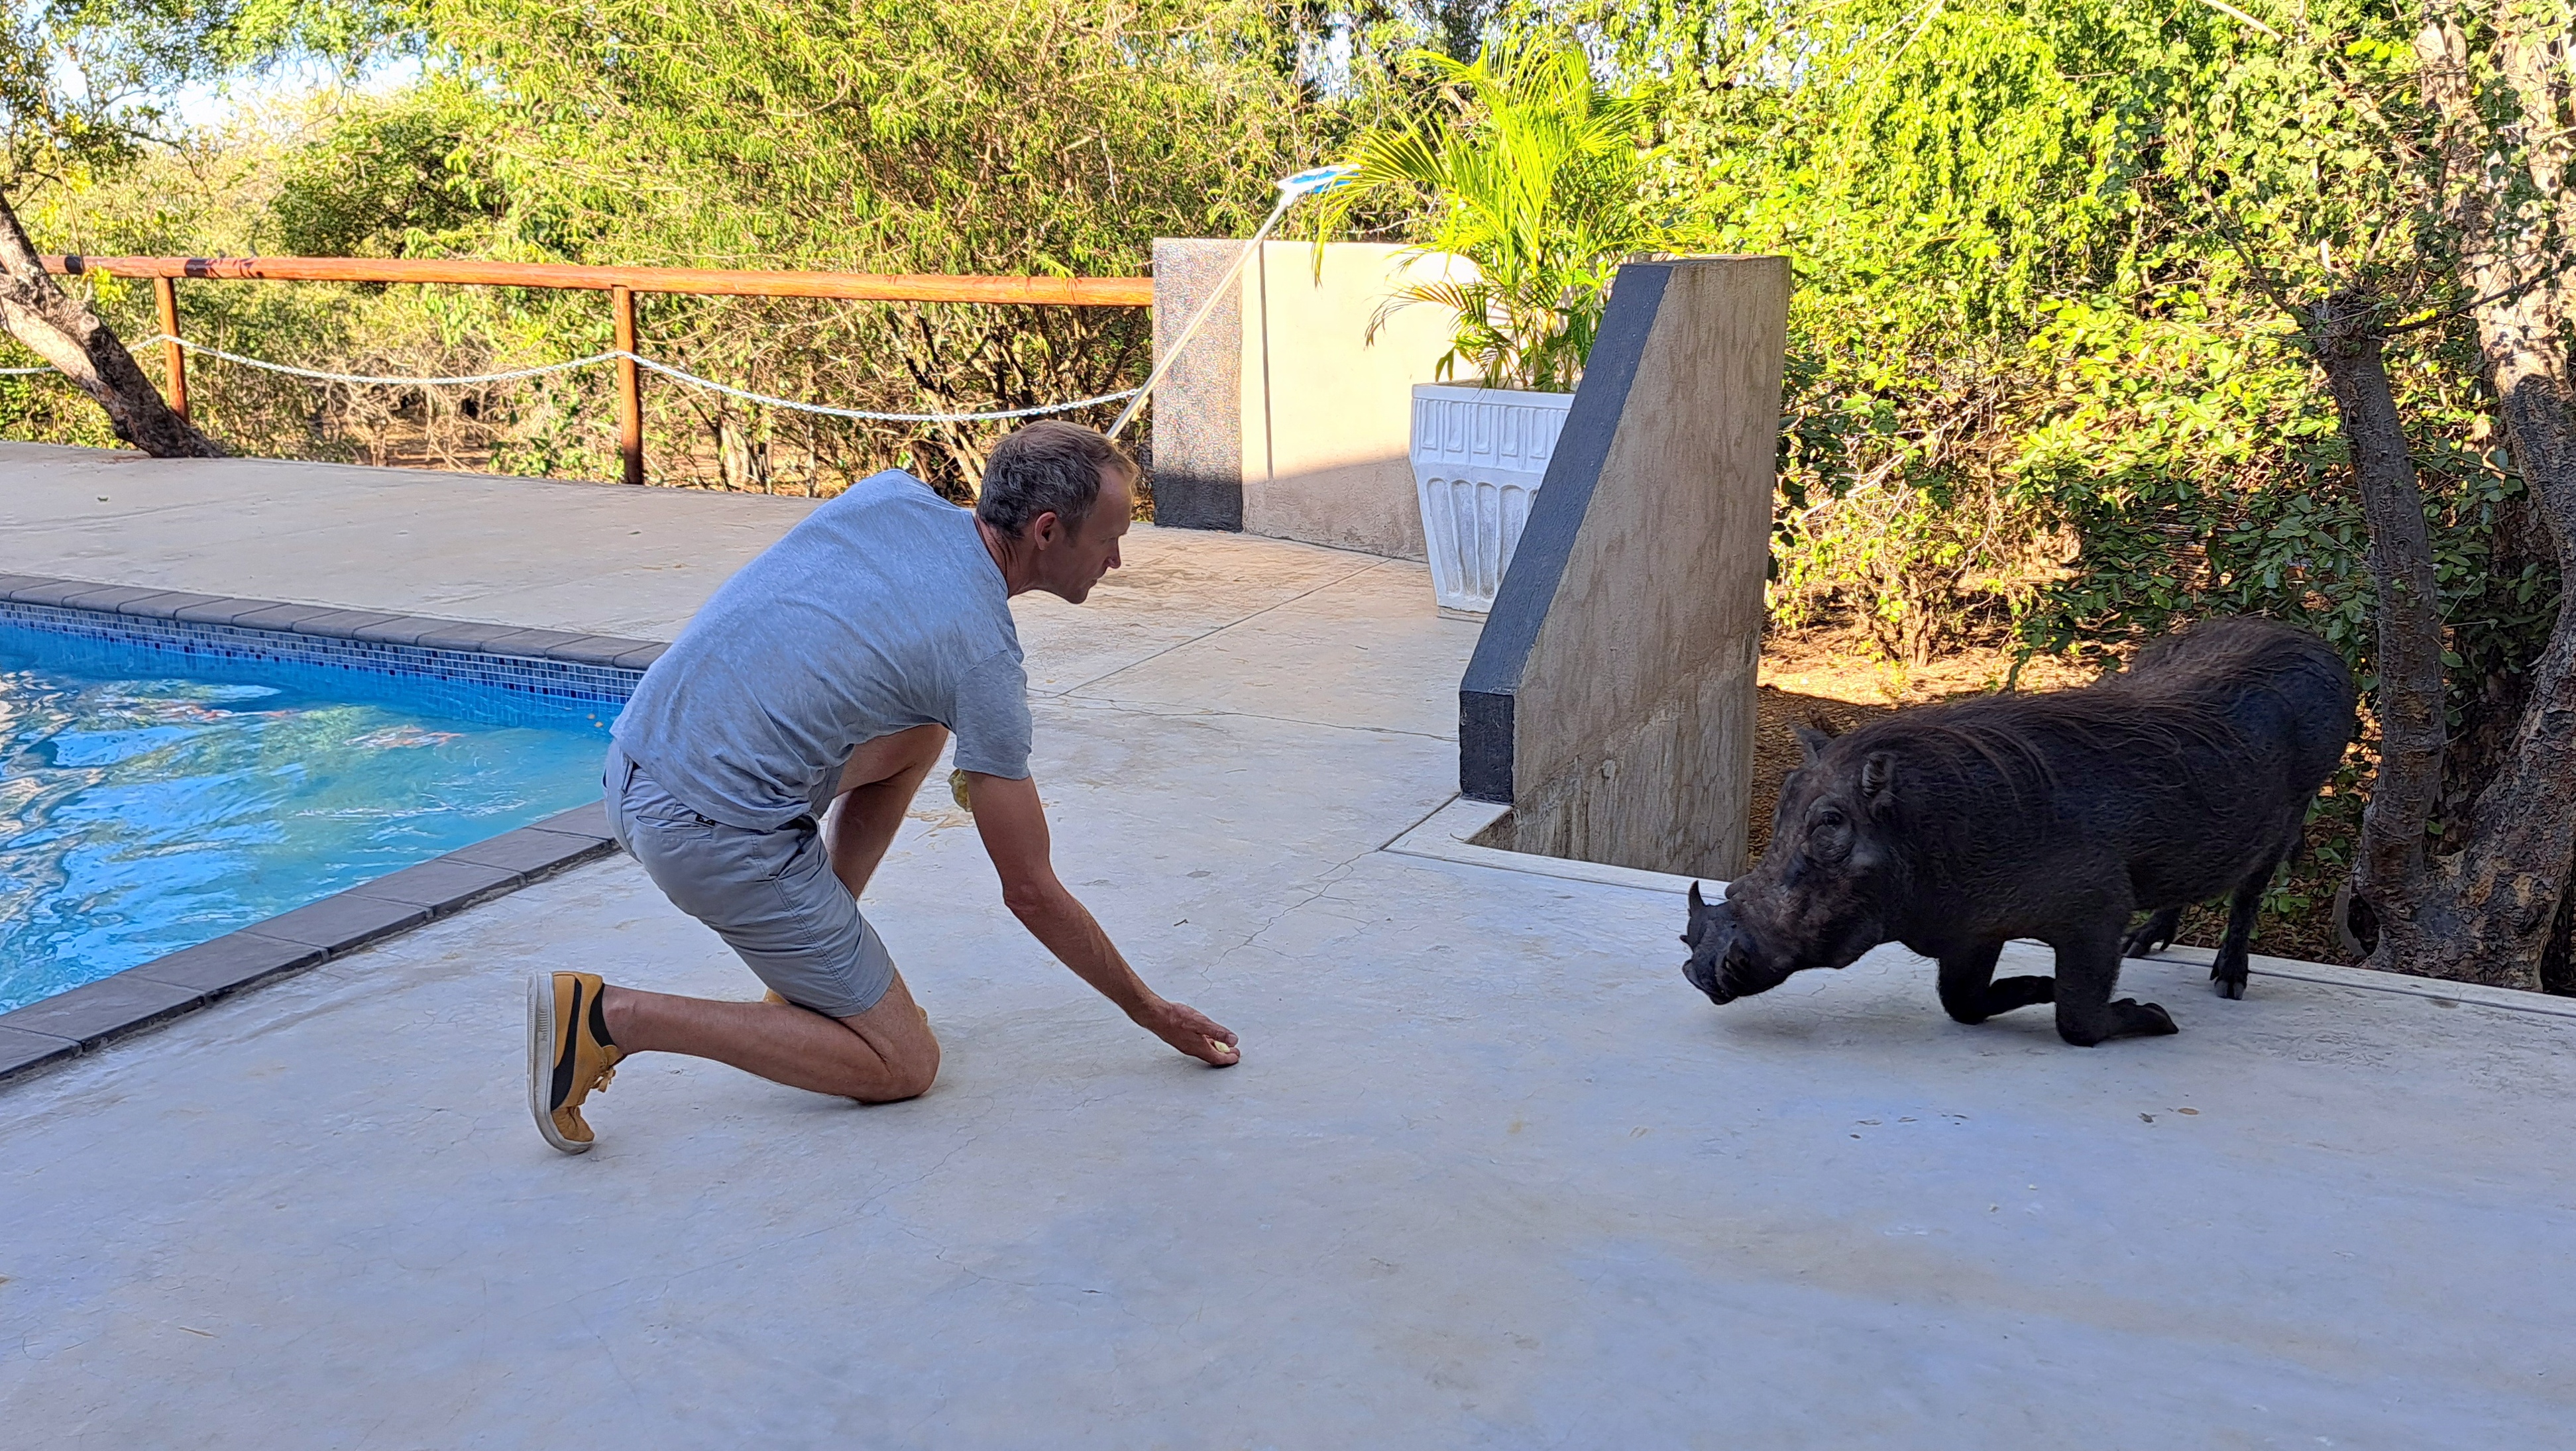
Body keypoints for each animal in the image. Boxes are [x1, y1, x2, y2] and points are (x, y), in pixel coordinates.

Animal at [1682, 618, 2356, 1046]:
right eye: (1782, 805)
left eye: (1829, 824)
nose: (1701, 968)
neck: (1934, 831)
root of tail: (2312, 642)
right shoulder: (1971, 930)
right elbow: (1963, 1003)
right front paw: (2039, 985)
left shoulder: (2094, 914)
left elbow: (2077, 1021)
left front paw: (2151, 1016)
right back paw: (2147, 943)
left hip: (2289, 816)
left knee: (2248, 891)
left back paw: (2229, 979)